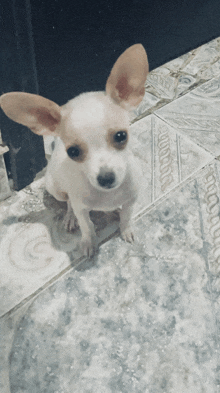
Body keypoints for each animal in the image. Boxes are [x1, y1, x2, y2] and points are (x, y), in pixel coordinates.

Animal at [0, 43, 149, 258]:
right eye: (73, 152)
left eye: (121, 136)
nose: (106, 178)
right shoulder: (82, 209)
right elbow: (87, 225)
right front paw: (88, 243)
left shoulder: (131, 200)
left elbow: (127, 216)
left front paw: (126, 228)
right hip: (55, 189)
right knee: (69, 203)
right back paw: (71, 217)